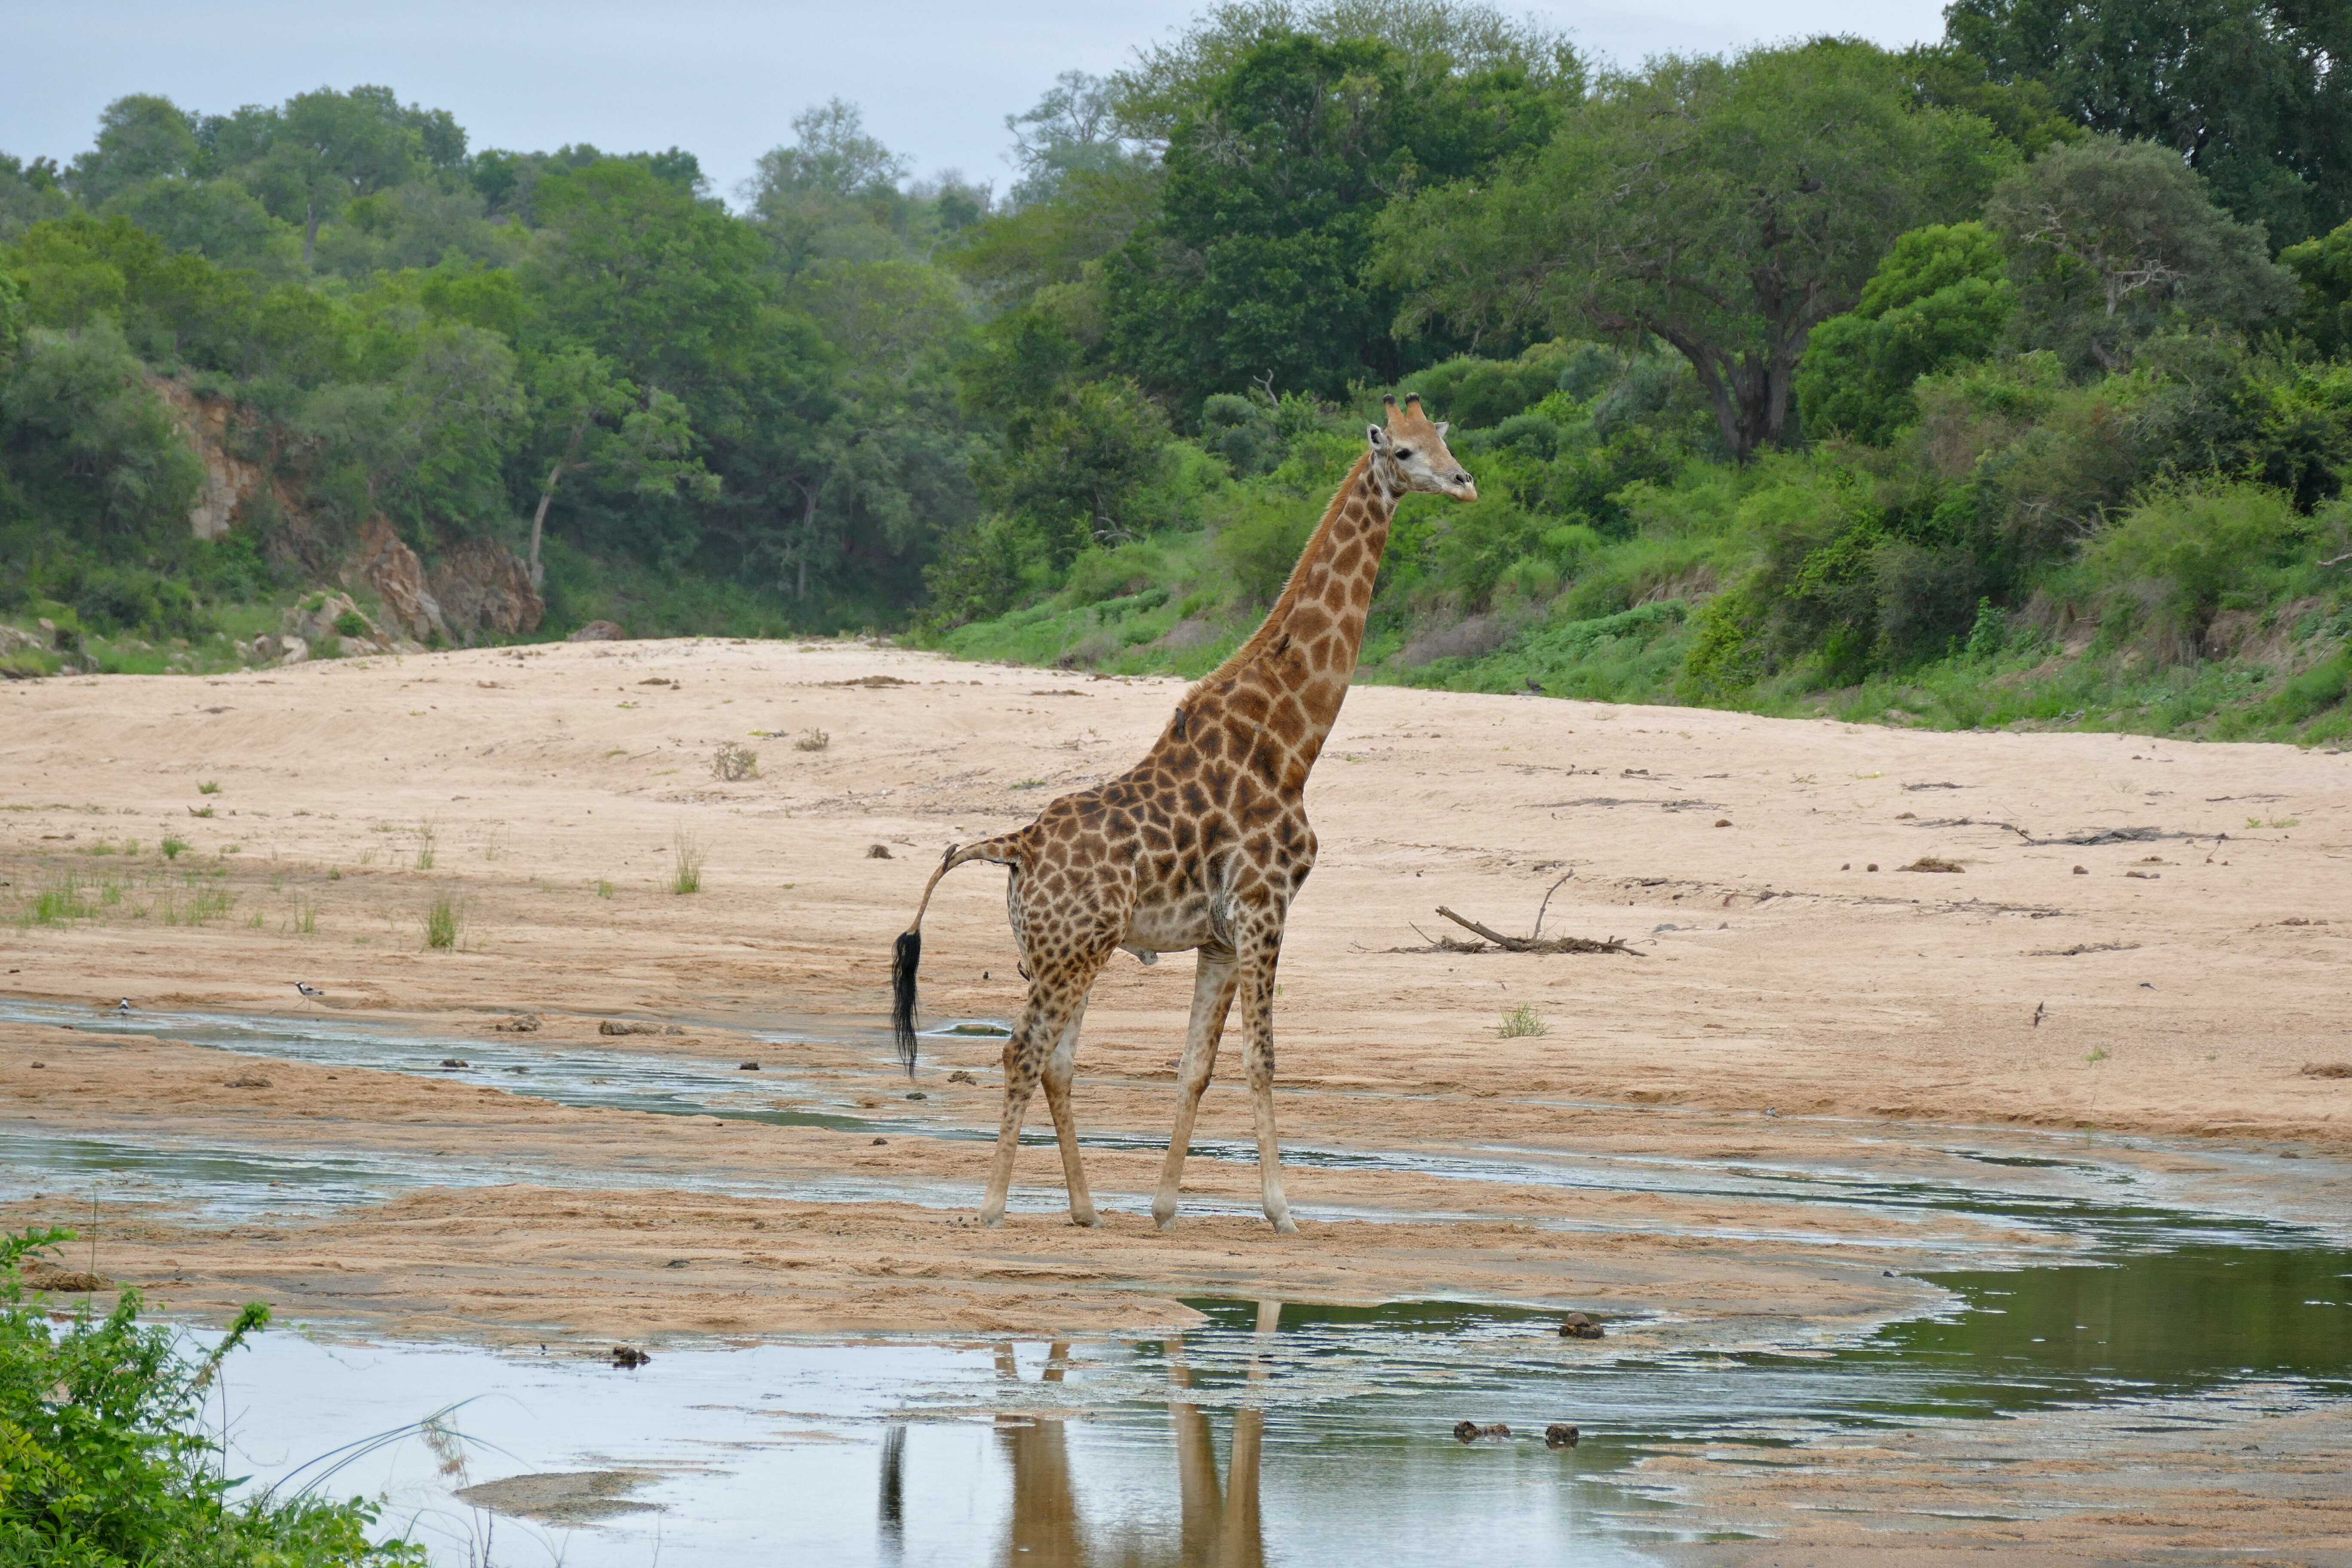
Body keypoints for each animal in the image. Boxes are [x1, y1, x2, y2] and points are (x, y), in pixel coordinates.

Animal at [889, 399, 1477, 1231]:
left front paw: (1165, 1209)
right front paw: (1281, 1211)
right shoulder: (1265, 910)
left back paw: (1087, 1211)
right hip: (1072, 951)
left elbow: (1195, 1065)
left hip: (1066, 950)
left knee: (1057, 1059)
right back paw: (994, 1208)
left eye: (1444, 443)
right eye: (1403, 451)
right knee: (1021, 1051)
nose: (1465, 485)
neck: (1289, 744)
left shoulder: (1222, 937)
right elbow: (1261, 1059)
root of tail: (1018, 844)